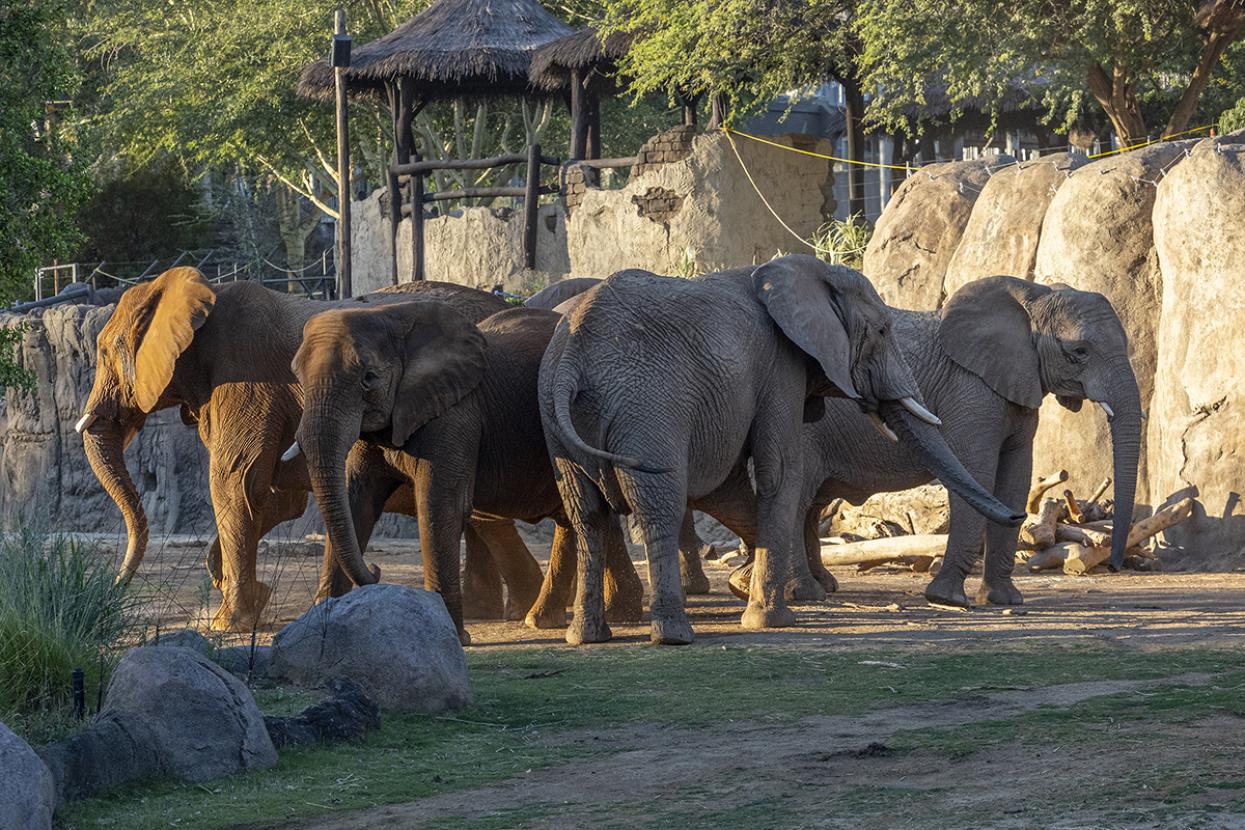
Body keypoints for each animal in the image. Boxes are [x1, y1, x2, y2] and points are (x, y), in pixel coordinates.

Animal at [77, 267, 542, 630]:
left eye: (104, 353)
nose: (115, 585)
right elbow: (272, 495)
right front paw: (243, 591)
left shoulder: (246, 377)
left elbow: (236, 480)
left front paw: (226, 623)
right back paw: (499, 611)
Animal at [286, 303, 645, 643]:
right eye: (298, 378)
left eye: (369, 378)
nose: (376, 571)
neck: (393, 318)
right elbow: (356, 504)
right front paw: (319, 628)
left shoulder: (455, 414)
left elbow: (438, 507)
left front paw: (453, 637)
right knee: (572, 512)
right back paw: (543, 618)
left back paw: (596, 617)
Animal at [537, 254, 1024, 646]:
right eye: (884, 330)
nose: (1020, 515)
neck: (802, 272)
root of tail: (573, 357)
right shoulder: (779, 365)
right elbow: (781, 469)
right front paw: (772, 618)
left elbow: (736, 488)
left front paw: (750, 587)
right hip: (647, 408)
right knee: (660, 505)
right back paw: (674, 635)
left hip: (555, 420)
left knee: (586, 515)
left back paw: (586, 637)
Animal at [726, 275, 1143, 608]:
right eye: (1079, 353)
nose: (1114, 564)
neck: (1033, 295)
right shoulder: (971, 392)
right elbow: (978, 474)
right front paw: (948, 599)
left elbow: (1015, 478)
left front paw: (1004, 601)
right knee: (798, 500)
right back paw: (802, 594)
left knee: (812, 505)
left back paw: (808, 587)